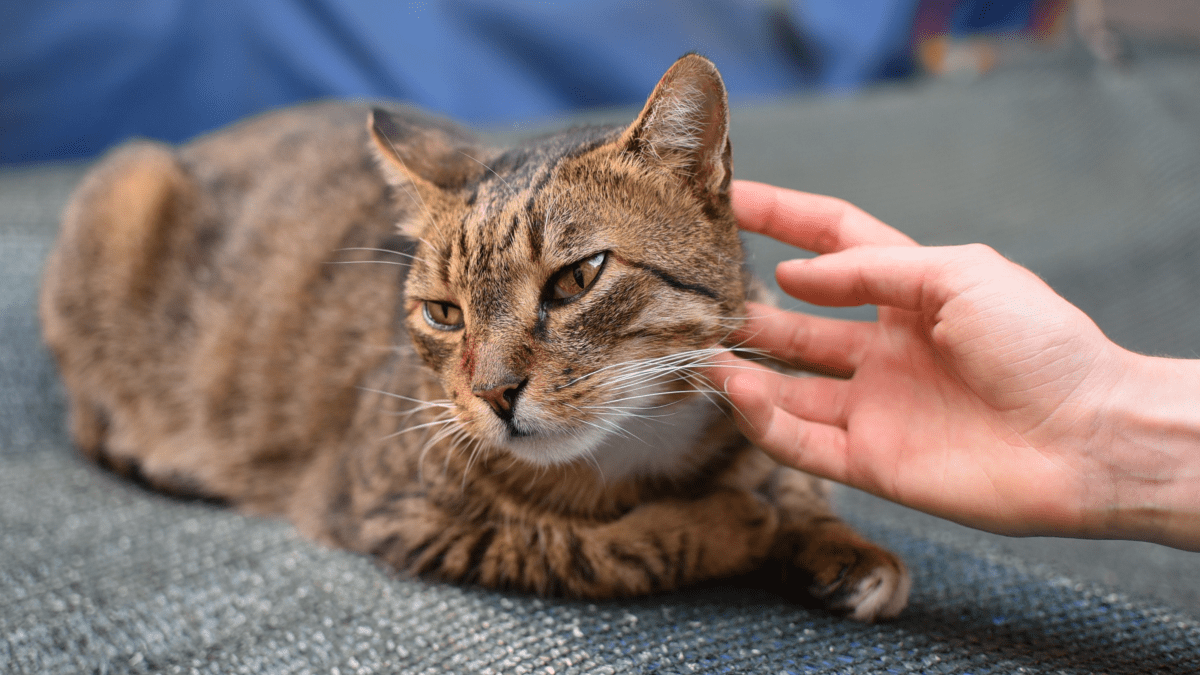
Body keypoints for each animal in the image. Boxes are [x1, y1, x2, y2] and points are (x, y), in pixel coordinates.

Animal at [39, 55, 907, 619]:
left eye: (576, 278)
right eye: (444, 313)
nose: (492, 393)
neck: (641, 442)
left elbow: (791, 481)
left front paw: (842, 546)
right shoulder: (400, 511)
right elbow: (588, 549)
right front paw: (731, 523)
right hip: (125, 193)